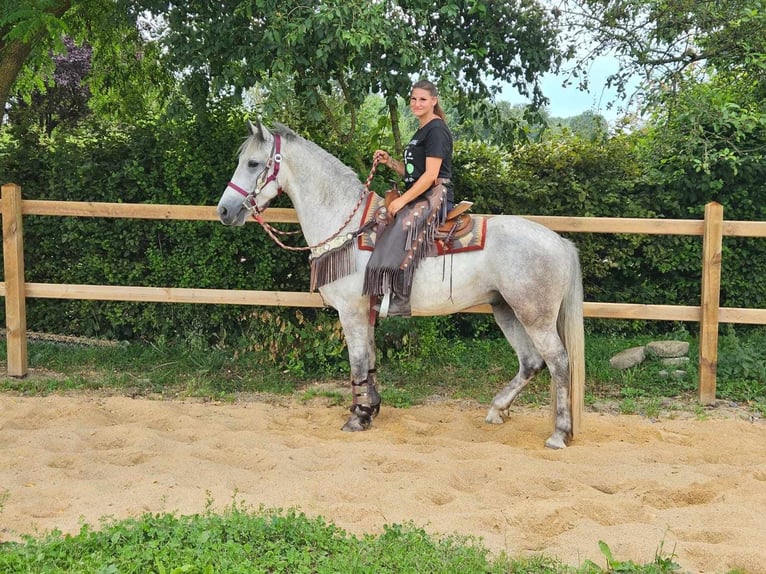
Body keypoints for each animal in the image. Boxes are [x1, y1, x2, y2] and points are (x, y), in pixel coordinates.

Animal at [213, 122, 584, 450]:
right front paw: (370, 408)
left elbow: (357, 360)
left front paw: (358, 417)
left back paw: (559, 434)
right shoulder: (368, 310)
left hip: (535, 316)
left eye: (253, 163)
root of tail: (561, 242)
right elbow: (370, 358)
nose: (224, 211)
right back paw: (497, 410)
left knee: (559, 362)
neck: (348, 226)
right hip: (505, 309)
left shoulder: (351, 310)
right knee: (531, 361)